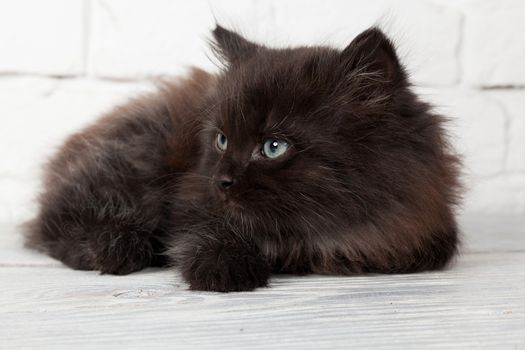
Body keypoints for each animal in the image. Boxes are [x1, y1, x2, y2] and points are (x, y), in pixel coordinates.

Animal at [23, 25, 458, 292]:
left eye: (273, 147)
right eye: (221, 140)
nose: (223, 181)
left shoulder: (427, 225)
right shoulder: (192, 193)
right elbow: (206, 227)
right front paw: (224, 266)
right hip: (138, 157)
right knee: (52, 222)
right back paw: (114, 246)